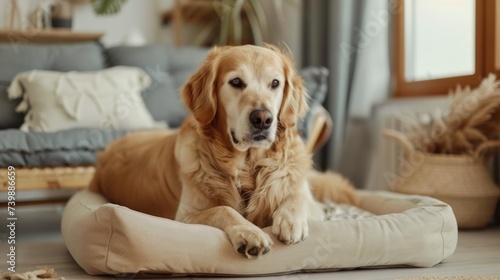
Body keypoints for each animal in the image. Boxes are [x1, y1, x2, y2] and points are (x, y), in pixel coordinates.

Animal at [89, 43, 356, 258]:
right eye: (236, 82)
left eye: (275, 83)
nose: (263, 119)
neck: (248, 164)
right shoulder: (184, 216)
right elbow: (224, 209)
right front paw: (249, 232)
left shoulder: (310, 202)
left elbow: (296, 196)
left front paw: (290, 220)